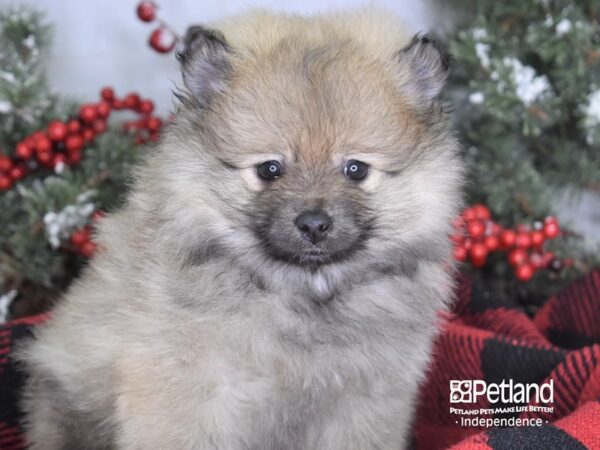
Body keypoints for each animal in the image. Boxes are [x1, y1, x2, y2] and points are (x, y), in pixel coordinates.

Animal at [19, 7, 464, 450]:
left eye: (356, 169)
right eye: (270, 169)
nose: (314, 223)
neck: (301, 294)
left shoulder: (365, 402)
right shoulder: (191, 392)